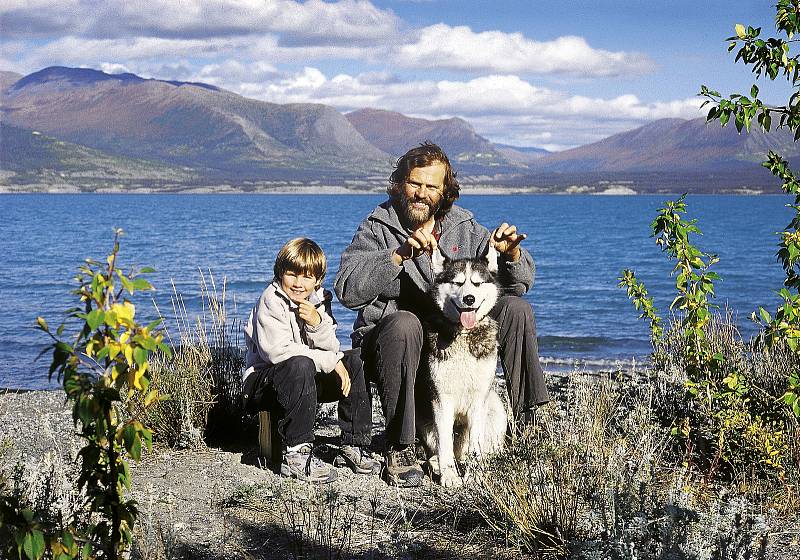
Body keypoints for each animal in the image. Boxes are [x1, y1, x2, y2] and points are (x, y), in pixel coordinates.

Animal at [418, 245, 506, 486]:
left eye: (477, 283)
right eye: (457, 283)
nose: (469, 298)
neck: (463, 335)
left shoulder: (478, 401)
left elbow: (476, 442)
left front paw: (475, 475)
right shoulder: (441, 400)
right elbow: (445, 444)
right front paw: (449, 475)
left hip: (497, 409)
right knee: (438, 452)